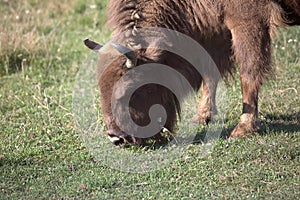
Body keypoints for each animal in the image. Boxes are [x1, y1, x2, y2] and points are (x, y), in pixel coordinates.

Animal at [84, 0, 300, 146]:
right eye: (101, 89)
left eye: (130, 88)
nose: (117, 138)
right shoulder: (214, 29)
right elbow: (209, 73)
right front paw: (201, 117)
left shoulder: (248, 20)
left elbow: (248, 73)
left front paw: (242, 129)